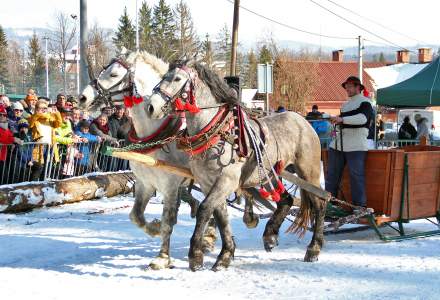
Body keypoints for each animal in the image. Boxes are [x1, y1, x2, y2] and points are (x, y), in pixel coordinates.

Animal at [147, 59, 324, 270]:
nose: (151, 106)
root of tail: (303, 121)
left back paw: (314, 248)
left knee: (319, 204)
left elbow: (204, 209)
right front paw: (225, 255)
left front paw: (195, 256)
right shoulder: (207, 182)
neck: (217, 133)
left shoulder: (227, 180)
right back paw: (270, 236)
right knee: (286, 200)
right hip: (269, 173)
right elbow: (221, 216)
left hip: (308, 172)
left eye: (177, 79)